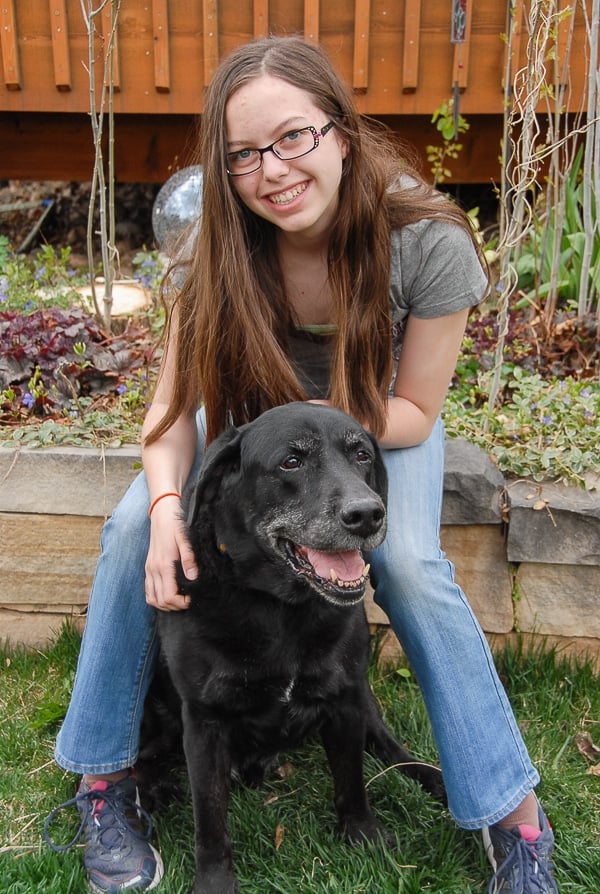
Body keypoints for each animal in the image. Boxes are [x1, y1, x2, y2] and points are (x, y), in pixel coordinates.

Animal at [143, 404, 446, 894]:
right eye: (291, 462)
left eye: (361, 455)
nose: (367, 514)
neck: (281, 607)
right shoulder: (204, 720)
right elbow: (210, 817)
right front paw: (214, 880)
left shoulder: (345, 697)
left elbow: (352, 778)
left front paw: (362, 834)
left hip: (365, 695)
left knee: (387, 746)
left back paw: (431, 777)